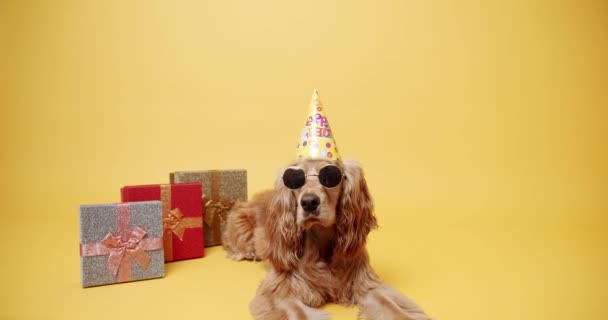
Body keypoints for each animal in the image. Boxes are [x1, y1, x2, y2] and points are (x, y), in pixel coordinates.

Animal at [221, 159, 430, 318]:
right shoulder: (280, 291)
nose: (309, 202)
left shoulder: (366, 284)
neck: (320, 241)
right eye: (295, 179)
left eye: (331, 176)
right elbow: (299, 313)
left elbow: (392, 306)